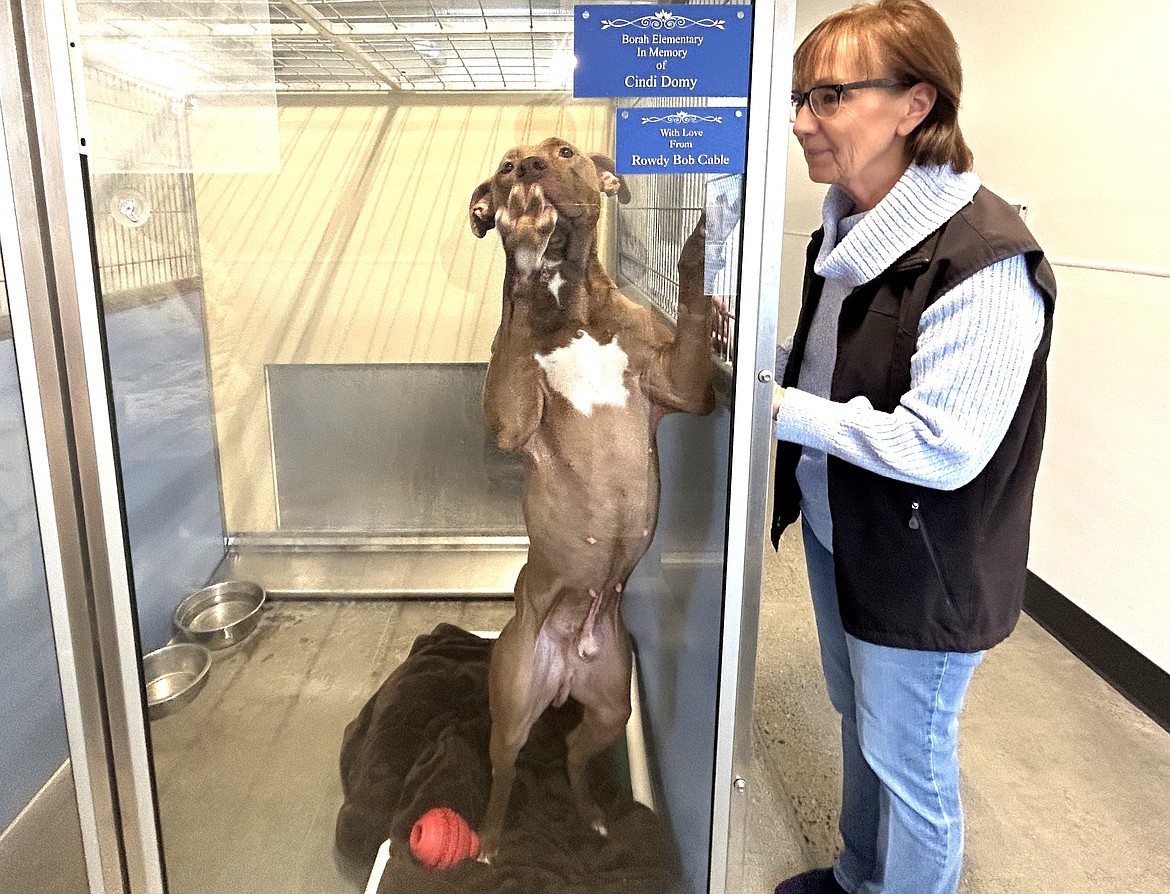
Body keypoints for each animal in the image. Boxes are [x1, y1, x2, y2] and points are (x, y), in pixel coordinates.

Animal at [465, 136, 711, 861]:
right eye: (505, 167)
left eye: (565, 151)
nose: (530, 170)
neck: (570, 305)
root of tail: (570, 657)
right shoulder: (511, 420)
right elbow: (514, 317)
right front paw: (522, 234)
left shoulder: (682, 384)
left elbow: (692, 316)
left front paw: (698, 250)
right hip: (514, 701)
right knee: (504, 769)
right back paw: (490, 841)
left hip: (610, 704)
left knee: (576, 754)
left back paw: (593, 815)